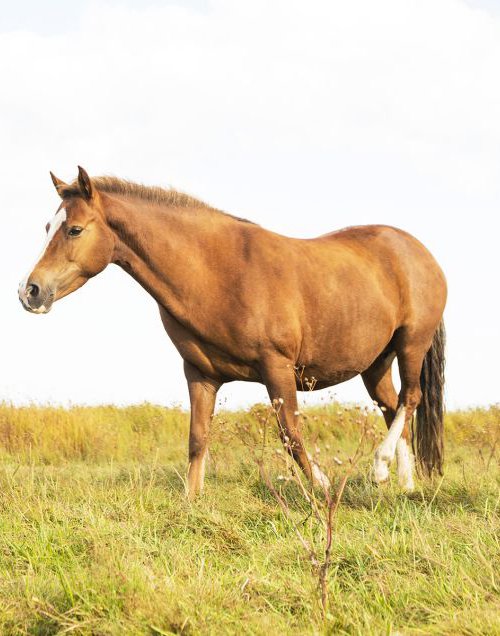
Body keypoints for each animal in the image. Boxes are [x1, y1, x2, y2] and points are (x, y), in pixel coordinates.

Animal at [19, 165, 448, 496]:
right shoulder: (200, 374)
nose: (30, 291)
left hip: (411, 344)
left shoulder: (277, 369)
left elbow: (291, 434)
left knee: (410, 398)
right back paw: (403, 483)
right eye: (47, 226)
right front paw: (191, 501)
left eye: (74, 230)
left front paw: (322, 485)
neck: (219, 272)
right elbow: (197, 440)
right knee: (392, 407)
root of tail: (420, 252)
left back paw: (380, 466)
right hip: (375, 363)